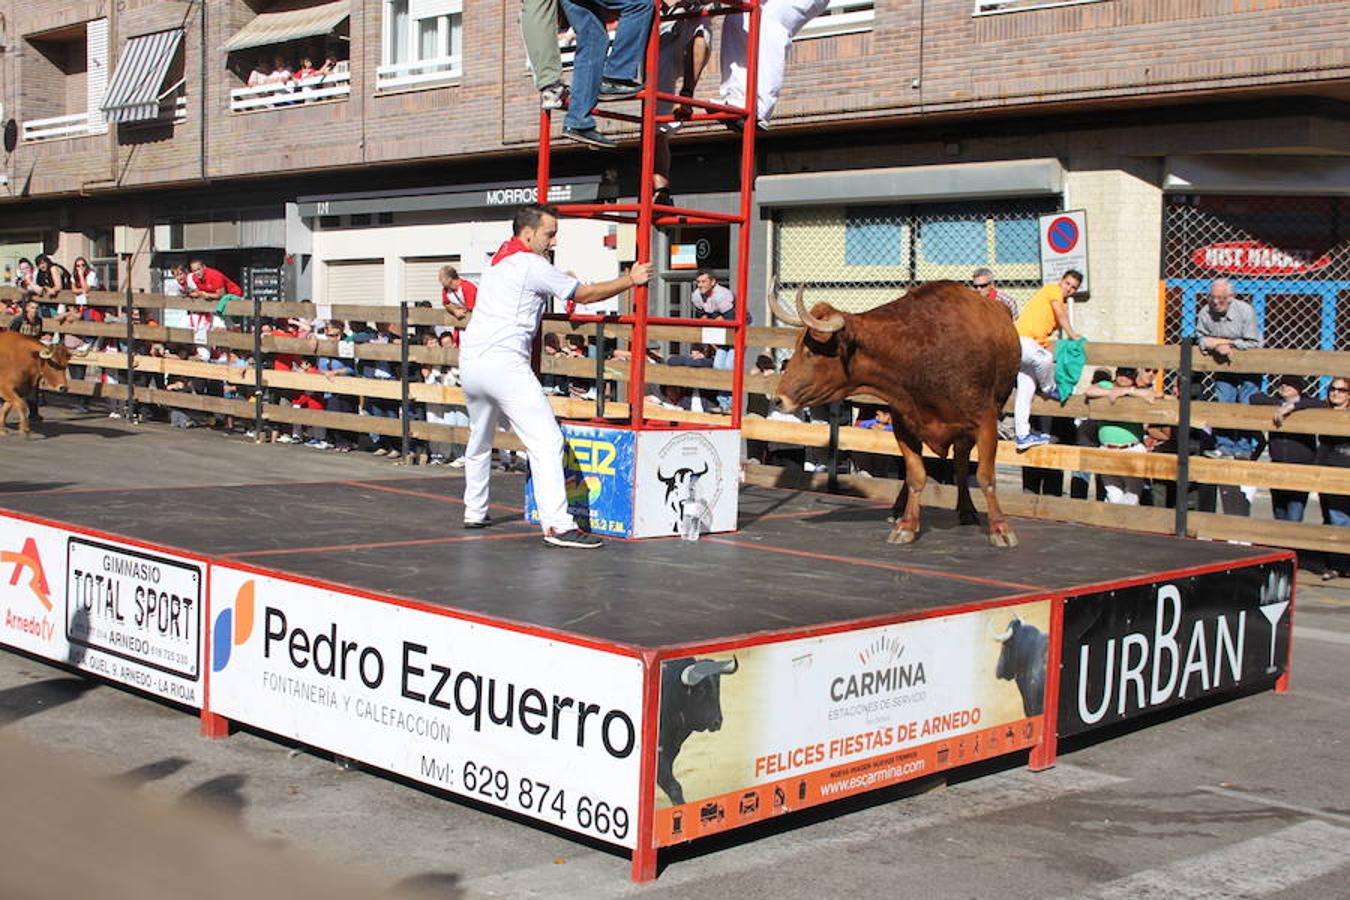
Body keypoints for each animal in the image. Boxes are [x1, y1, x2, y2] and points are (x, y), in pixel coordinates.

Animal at [766, 282, 1015, 550]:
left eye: (811, 352)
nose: (778, 399)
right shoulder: (904, 425)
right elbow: (915, 475)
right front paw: (907, 525)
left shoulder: (985, 422)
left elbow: (985, 476)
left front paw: (1000, 528)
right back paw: (899, 510)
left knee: (960, 462)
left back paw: (967, 510)